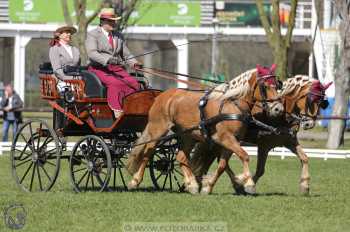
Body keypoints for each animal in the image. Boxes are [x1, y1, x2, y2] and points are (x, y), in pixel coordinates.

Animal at [126, 67, 284, 194]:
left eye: (277, 86)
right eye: (265, 86)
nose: (279, 109)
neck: (233, 105)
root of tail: (162, 96)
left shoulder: (233, 141)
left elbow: (222, 165)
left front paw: (208, 187)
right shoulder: (225, 138)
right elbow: (244, 156)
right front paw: (249, 183)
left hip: (187, 135)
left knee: (181, 157)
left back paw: (192, 185)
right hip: (158, 129)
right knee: (148, 152)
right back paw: (135, 181)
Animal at [189, 75, 330, 195]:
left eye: (322, 102)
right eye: (310, 100)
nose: (309, 124)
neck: (281, 117)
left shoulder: (289, 141)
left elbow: (304, 158)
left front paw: (305, 185)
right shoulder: (264, 146)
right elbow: (260, 170)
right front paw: (247, 184)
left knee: (219, 161)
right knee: (221, 161)